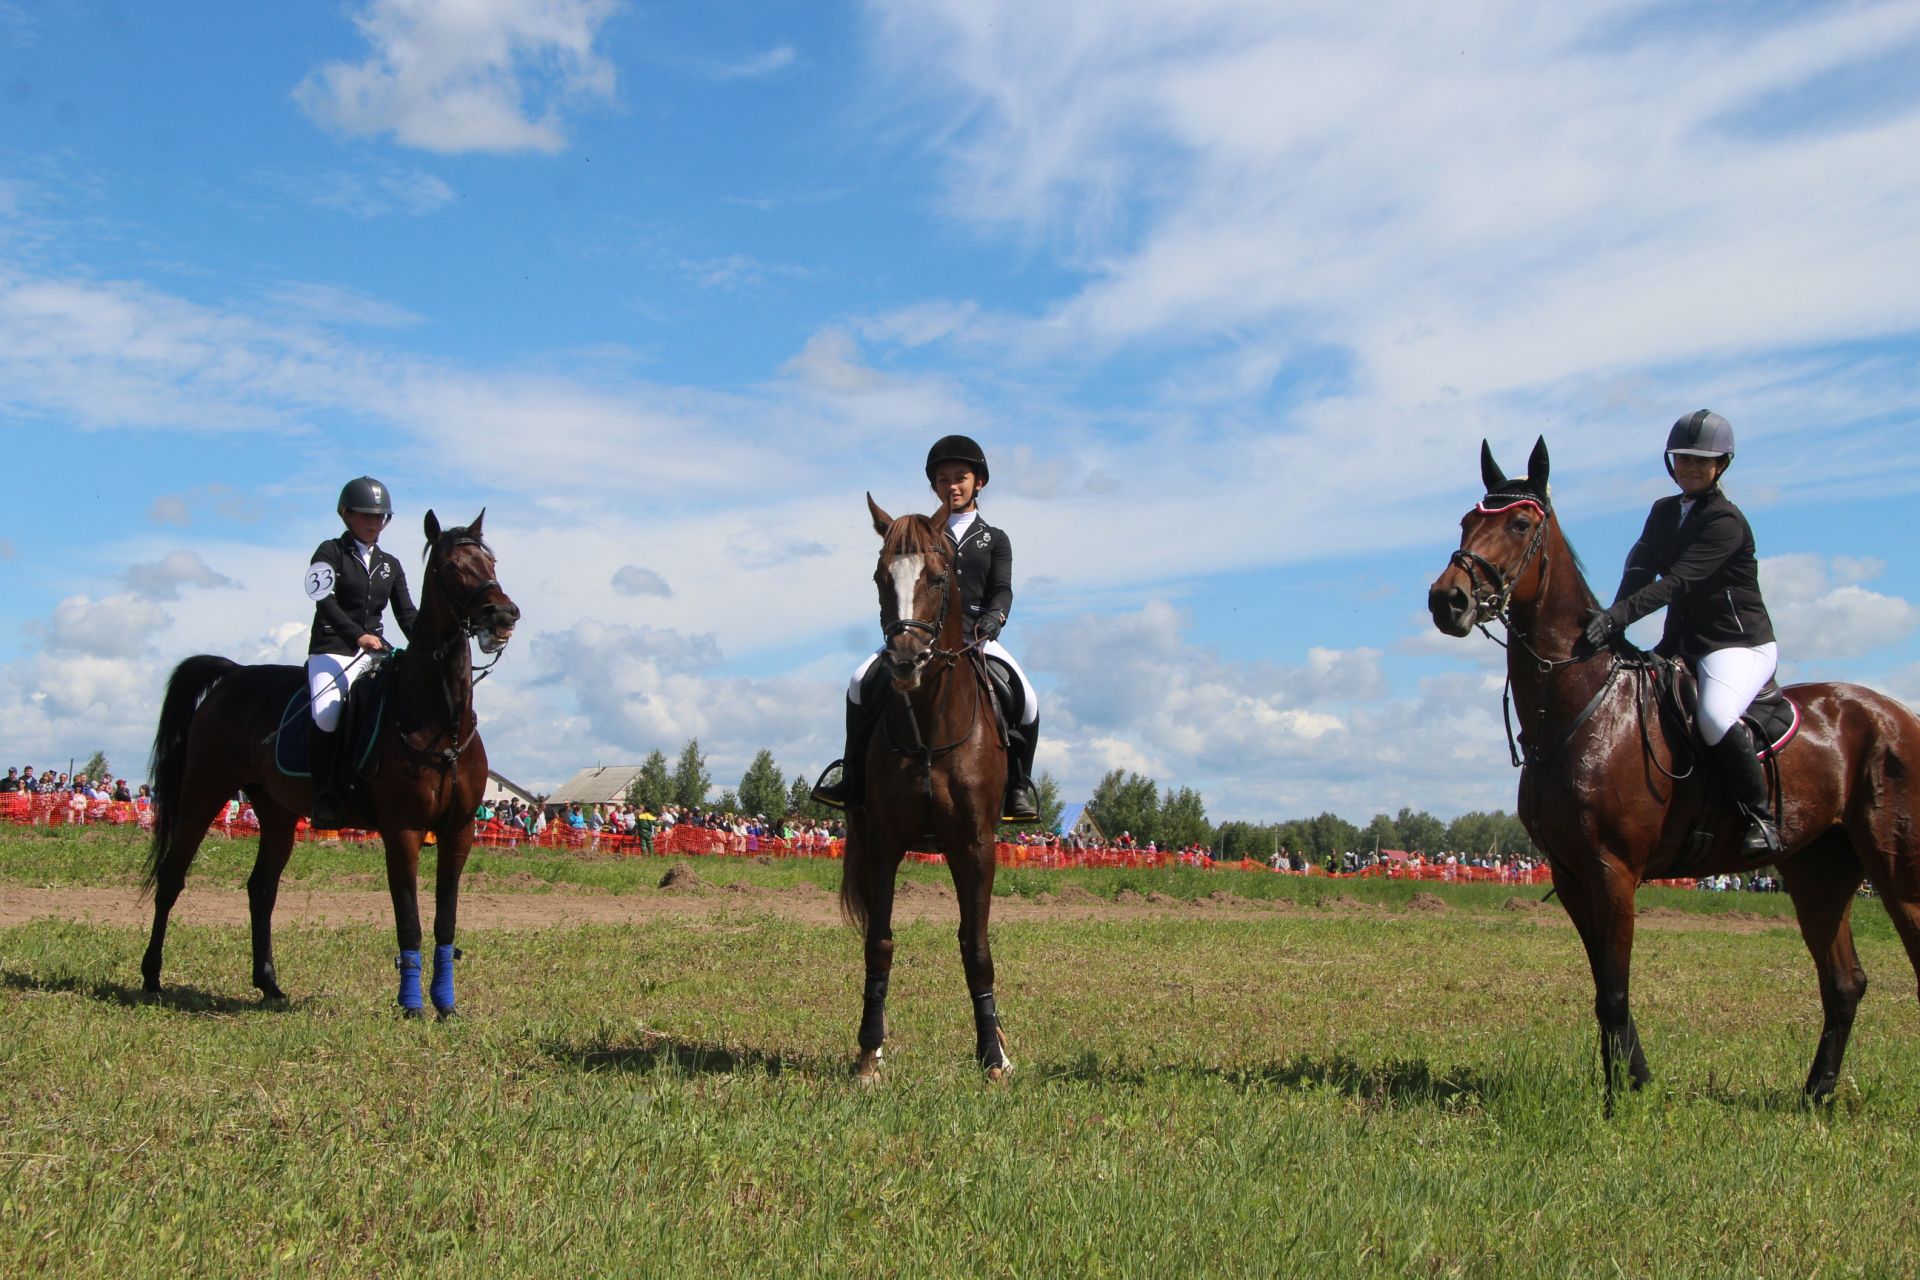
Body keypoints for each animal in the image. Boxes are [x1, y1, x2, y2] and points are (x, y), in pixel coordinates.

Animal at [140, 514, 518, 1020]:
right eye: (453, 567)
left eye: (491, 563)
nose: (504, 615)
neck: (442, 720)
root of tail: (234, 675)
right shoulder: (403, 829)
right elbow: (410, 921)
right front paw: (411, 1005)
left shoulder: (458, 830)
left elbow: (445, 921)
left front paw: (446, 1005)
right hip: (203, 793)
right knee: (172, 877)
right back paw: (151, 977)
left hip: (276, 812)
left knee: (262, 889)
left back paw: (269, 984)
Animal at [840, 498, 1021, 1082]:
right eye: (880, 577)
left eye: (939, 578)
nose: (904, 660)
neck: (929, 723)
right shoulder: (884, 841)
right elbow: (879, 942)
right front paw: (868, 1052)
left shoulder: (975, 846)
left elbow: (976, 948)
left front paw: (992, 1056)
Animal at [1428, 441, 1920, 1105]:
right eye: (1464, 522)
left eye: (1521, 525)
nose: (1446, 600)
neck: (1581, 703)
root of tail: (1898, 715)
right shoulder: (1574, 874)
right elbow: (1606, 992)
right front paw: (1635, 1082)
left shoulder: (1613, 870)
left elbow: (1613, 993)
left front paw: (1617, 1104)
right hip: (1818, 871)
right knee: (1843, 983)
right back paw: (1815, 1096)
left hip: (1897, 870)